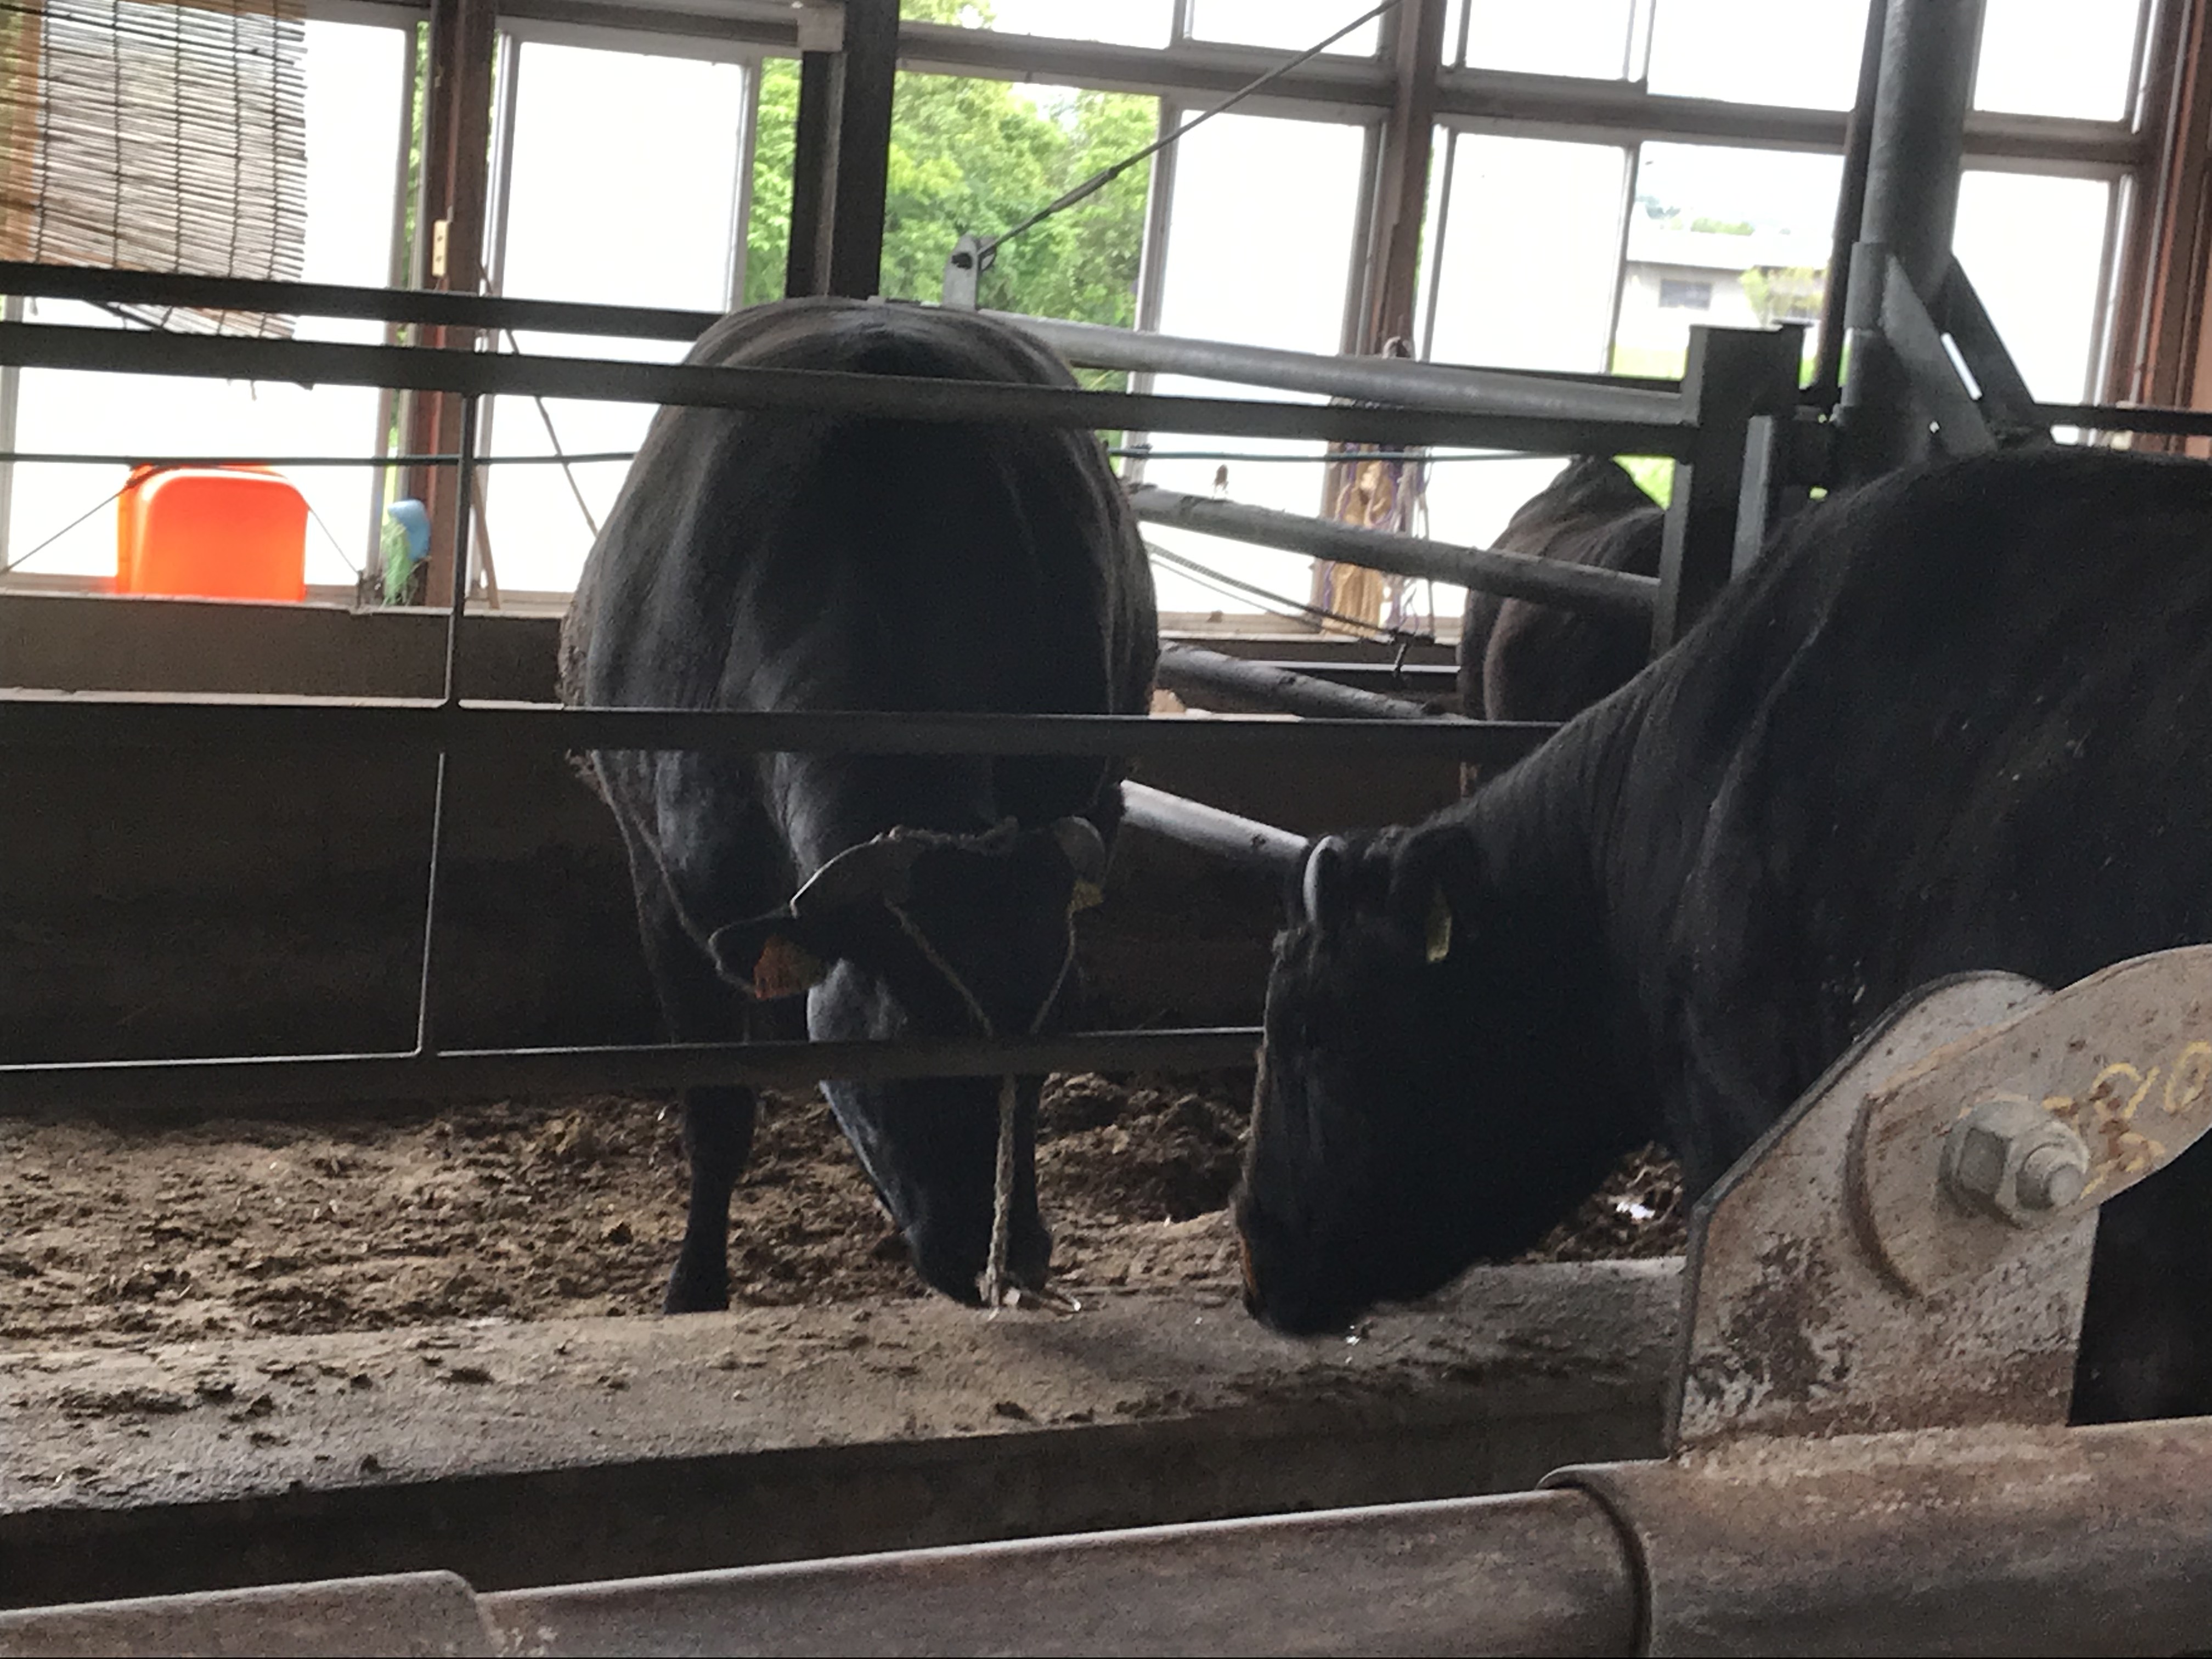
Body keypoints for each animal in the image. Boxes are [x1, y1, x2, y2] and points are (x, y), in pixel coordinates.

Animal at [560, 298, 1157, 1313]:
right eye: (903, 1045)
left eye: (1053, 1030)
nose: (1008, 1253)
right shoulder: (669, 892)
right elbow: (716, 1109)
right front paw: (694, 1286)